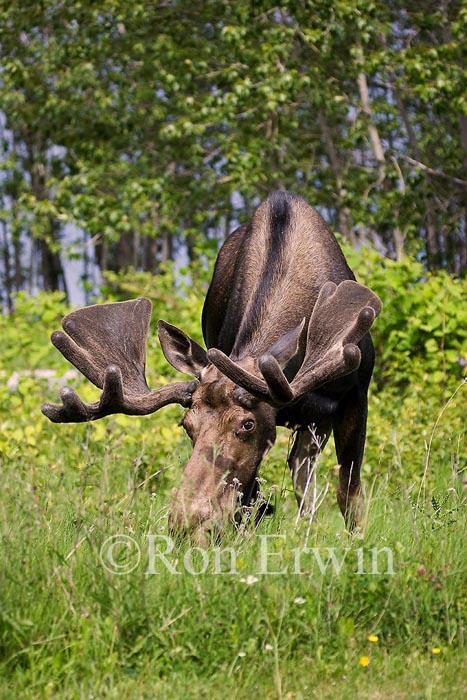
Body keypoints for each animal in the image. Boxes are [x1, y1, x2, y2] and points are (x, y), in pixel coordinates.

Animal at [42, 191, 382, 540]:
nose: (185, 520)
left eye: (247, 424)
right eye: (185, 425)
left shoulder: (356, 394)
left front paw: (356, 540)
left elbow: (349, 491)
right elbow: (250, 499)